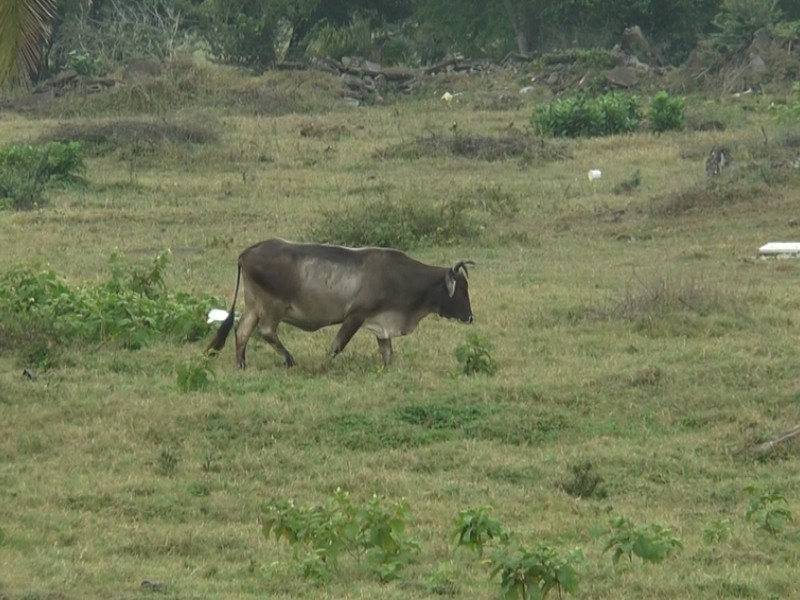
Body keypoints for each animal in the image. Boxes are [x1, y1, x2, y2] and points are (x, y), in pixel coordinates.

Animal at [206, 237, 476, 368]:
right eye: (461, 290)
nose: (470, 317)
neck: (400, 276)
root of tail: (247, 252)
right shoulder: (355, 316)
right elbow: (336, 346)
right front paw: (323, 365)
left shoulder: (382, 324)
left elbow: (387, 352)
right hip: (273, 306)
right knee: (266, 331)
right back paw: (289, 360)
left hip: (254, 304)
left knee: (242, 330)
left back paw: (242, 364)